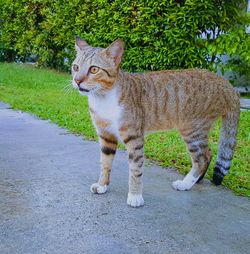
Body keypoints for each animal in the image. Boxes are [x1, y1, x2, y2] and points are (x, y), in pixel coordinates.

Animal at [71, 36, 240, 207]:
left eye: (94, 69)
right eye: (75, 67)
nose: (77, 81)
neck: (103, 98)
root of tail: (225, 83)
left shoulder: (134, 137)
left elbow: (135, 169)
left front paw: (135, 195)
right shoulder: (106, 136)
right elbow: (105, 163)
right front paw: (102, 185)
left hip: (193, 130)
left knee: (203, 157)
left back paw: (186, 183)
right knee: (208, 154)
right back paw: (196, 180)